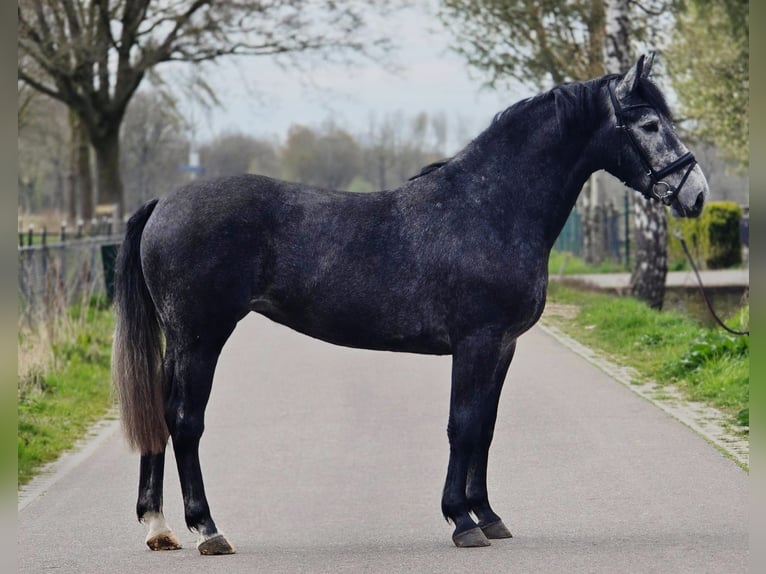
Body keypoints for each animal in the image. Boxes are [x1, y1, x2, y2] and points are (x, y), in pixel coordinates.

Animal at [112, 54, 708, 554]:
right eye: (649, 125)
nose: (696, 193)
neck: (490, 206)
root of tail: (164, 201)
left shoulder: (503, 347)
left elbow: (485, 427)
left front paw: (489, 515)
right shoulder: (476, 342)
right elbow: (462, 425)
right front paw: (462, 522)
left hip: (179, 339)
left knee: (160, 414)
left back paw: (158, 526)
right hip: (200, 336)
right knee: (185, 420)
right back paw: (207, 529)